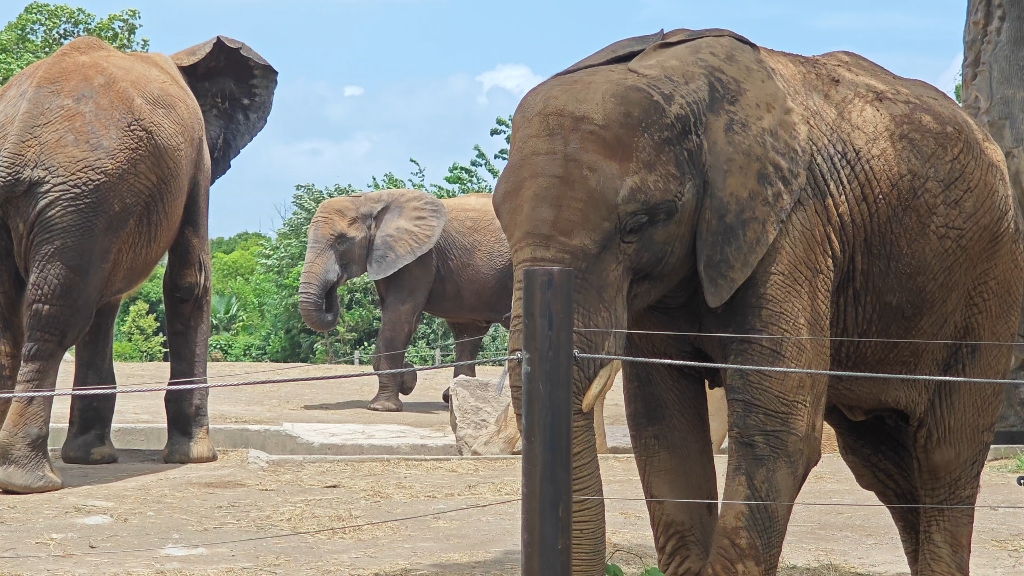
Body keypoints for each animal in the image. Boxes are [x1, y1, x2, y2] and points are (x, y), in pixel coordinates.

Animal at [0, 36, 276, 493]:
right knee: (55, 317)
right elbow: (189, 281)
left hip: (81, 203)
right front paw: (196, 456)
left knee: (17, 325)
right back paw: (30, 480)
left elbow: (108, 298)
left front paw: (93, 457)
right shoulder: (196, 158)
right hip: (81, 200)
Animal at [298, 190, 513, 412]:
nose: (334, 284)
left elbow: (399, 317)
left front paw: (382, 407)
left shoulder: (419, 258)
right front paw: (407, 379)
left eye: (341, 242)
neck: (369, 200)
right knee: (467, 333)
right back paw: (452, 399)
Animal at [493, 27, 1024, 576]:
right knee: (883, 465)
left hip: (990, 280)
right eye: (498, 214)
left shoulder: (795, 225)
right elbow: (664, 428)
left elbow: (776, 430)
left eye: (637, 224)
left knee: (944, 452)